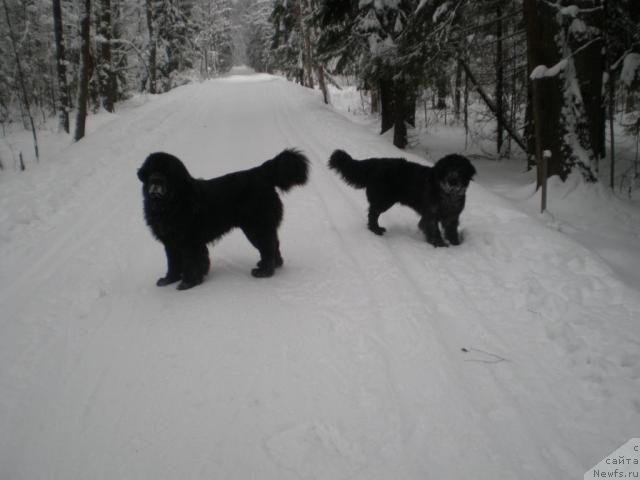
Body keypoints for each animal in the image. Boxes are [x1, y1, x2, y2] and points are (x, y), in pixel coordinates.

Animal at [138, 149, 310, 288]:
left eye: (167, 172)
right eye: (151, 171)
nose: (156, 180)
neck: (172, 203)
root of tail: (261, 173)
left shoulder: (189, 242)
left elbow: (191, 262)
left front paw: (188, 283)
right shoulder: (170, 242)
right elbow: (173, 263)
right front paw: (169, 279)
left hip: (255, 227)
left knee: (268, 246)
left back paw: (264, 272)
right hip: (260, 226)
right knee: (274, 243)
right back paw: (273, 264)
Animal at [330, 150, 476, 248]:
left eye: (461, 170)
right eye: (447, 169)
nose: (453, 181)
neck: (448, 195)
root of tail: (376, 162)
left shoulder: (452, 216)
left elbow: (451, 231)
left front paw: (456, 244)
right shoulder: (430, 216)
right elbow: (434, 231)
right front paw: (439, 244)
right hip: (383, 200)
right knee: (373, 213)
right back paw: (376, 230)